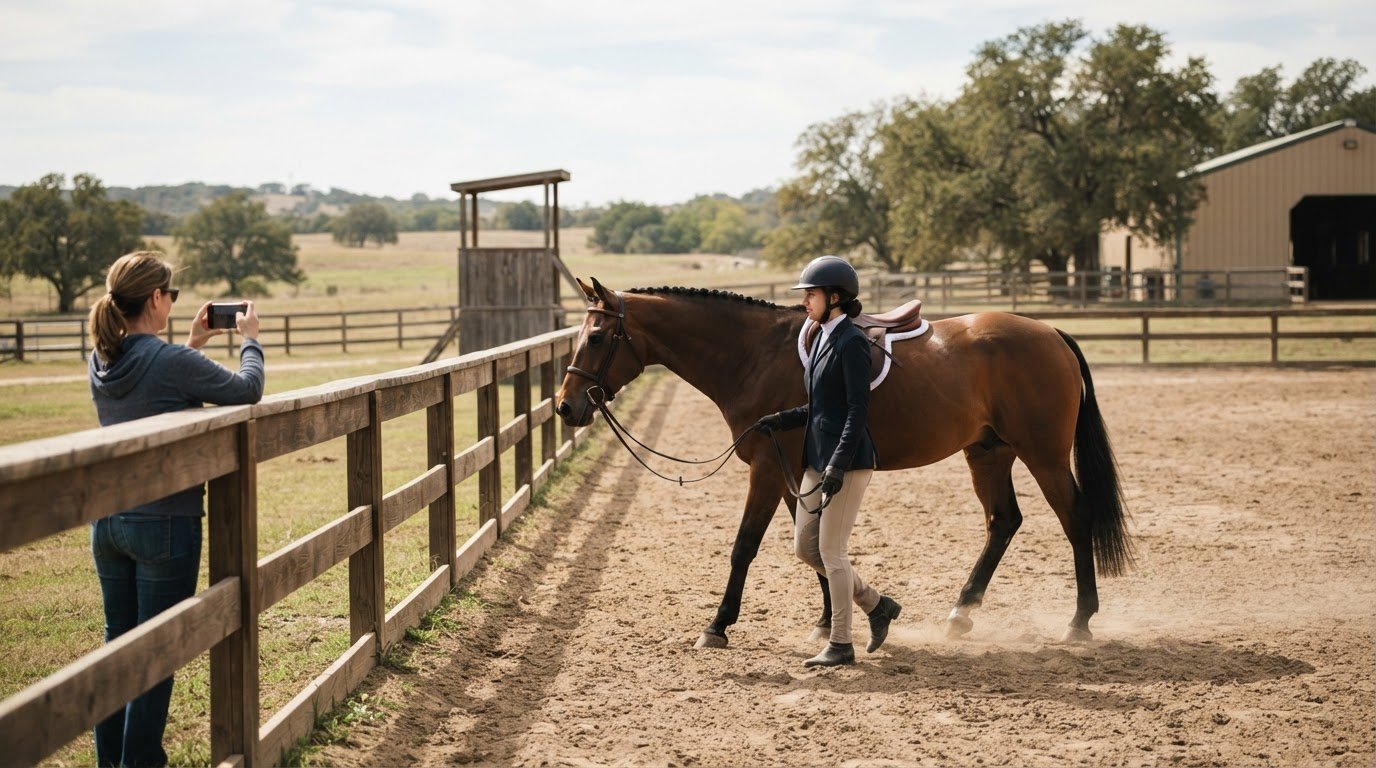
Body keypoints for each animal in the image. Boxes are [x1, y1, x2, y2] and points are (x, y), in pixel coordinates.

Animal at [555, 277, 1132, 649]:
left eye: (598, 337)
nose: (565, 406)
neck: (754, 354)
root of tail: (1051, 333)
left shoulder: (767, 469)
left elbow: (745, 547)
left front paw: (717, 626)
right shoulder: (795, 473)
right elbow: (808, 546)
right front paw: (830, 618)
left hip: (1044, 456)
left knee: (1075, 520)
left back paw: (1079, 622)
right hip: (988, 453)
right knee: (1003, 522)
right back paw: (961, 614)